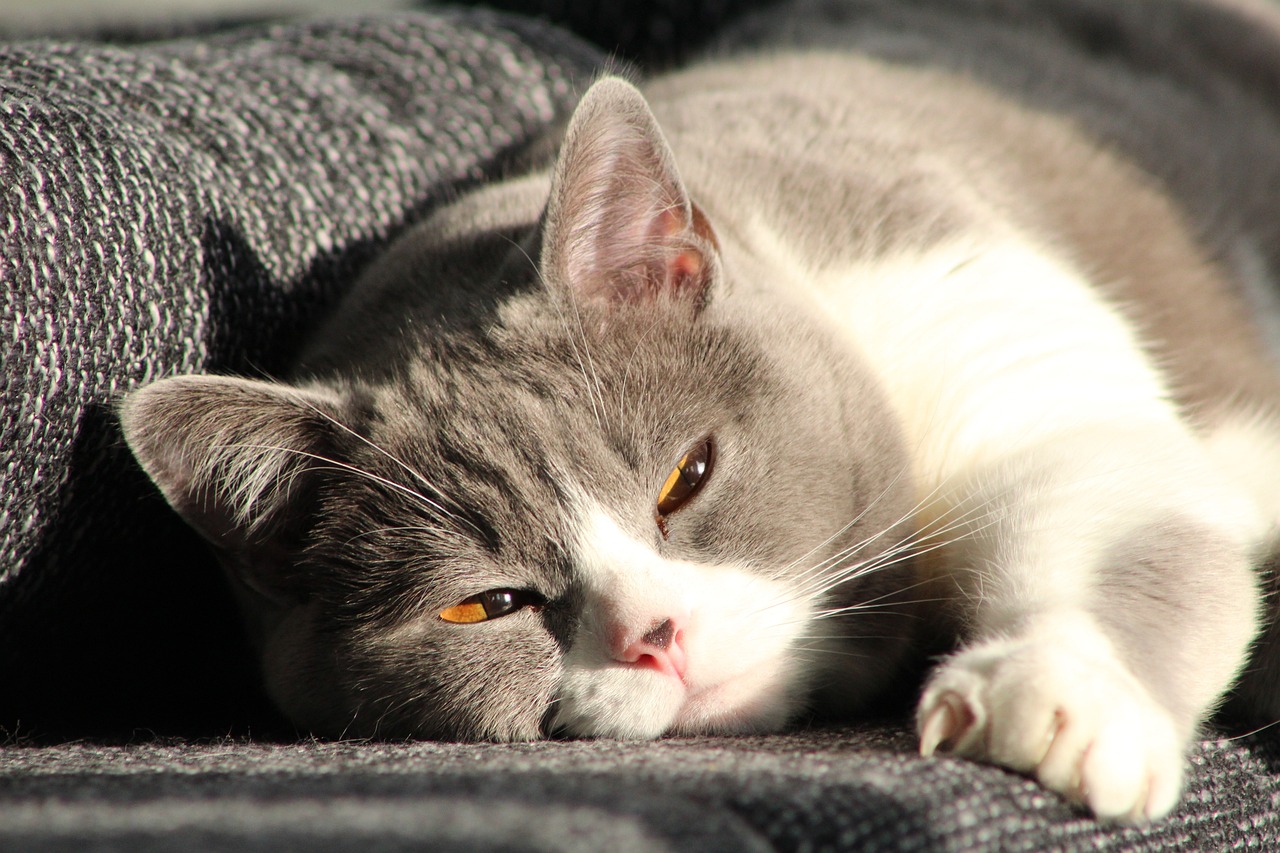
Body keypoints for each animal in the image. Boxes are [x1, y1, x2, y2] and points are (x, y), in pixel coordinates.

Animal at [115, 41, 1280, 824]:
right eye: (486, 604)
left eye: (688, 475)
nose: (656, 634)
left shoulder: (987, 327)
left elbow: (1111, 506)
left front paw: (1056, 695)